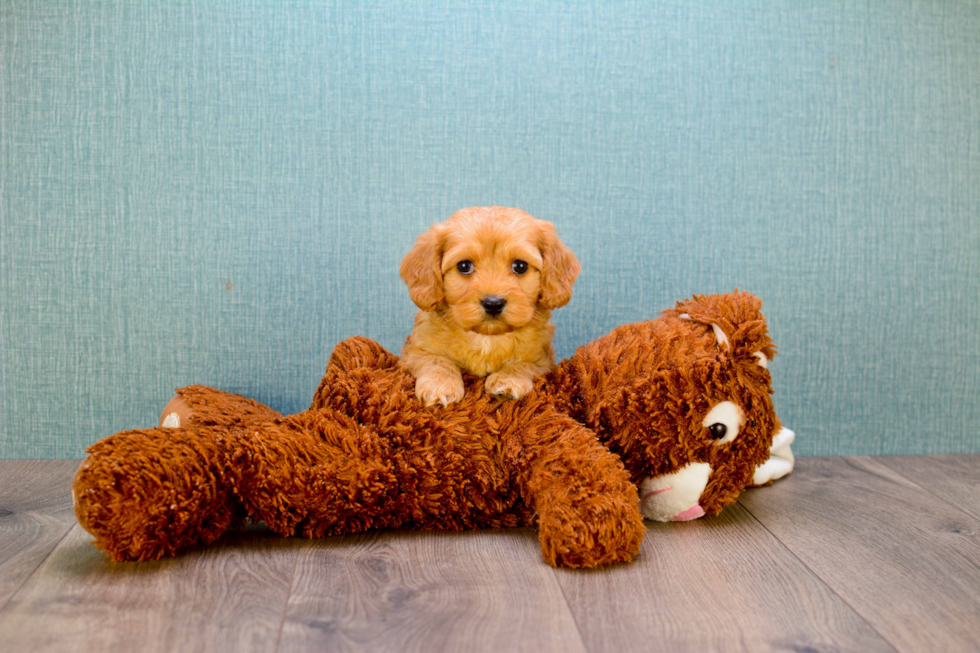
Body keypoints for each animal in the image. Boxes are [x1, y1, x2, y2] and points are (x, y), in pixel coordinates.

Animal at [400, 206, 580, 404]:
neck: (487, 338)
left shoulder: (543, 360)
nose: (493, 303)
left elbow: (523, 364)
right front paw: (440, 385)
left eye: (520, 266)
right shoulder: (414, 352)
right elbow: (436, 360)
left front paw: (508, 380)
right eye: (464, 266)